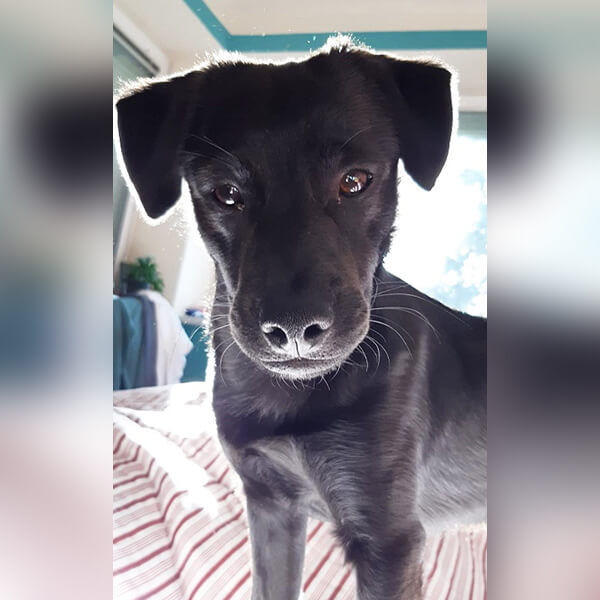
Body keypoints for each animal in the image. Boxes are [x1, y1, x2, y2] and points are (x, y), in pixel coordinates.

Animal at [116, 38, 486, 600]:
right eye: (226, 193)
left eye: (355, 181)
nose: (294, 331)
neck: (288, 398)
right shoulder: (271, 506)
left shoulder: (389, 542)